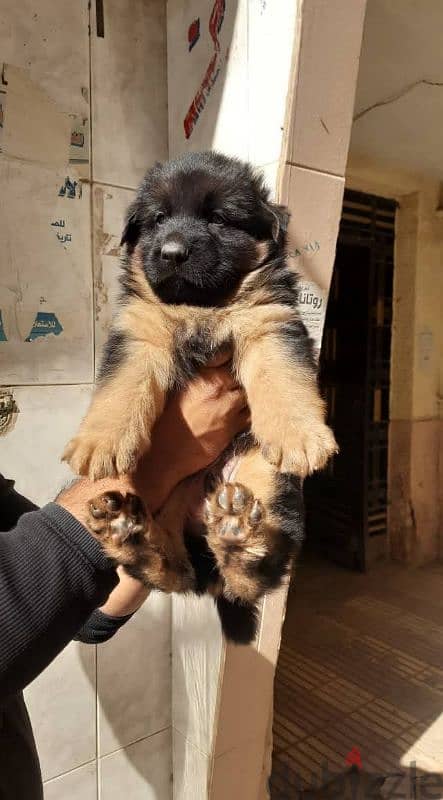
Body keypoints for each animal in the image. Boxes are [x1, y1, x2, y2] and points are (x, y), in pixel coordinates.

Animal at [64, 153, 338, 644]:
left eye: (218, 218)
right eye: (157, 219)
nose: (172, 252)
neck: (202, 306)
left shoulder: (270, 324)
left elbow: (283, 379)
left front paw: (301, 436)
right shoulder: (140, 332)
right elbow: (121, 387)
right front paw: (100, 442)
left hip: (266, 479)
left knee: (251, 577)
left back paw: (235, 535)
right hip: (167, 503)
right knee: (174, 571)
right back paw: (129, 534)